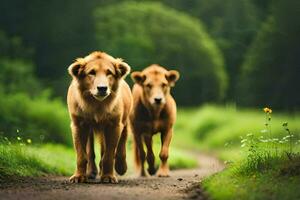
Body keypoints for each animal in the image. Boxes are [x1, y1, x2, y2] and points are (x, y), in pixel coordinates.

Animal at [67, 51, 132, 183]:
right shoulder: (78, 124)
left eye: (109, 73)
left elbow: (109, 154)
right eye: (91, 72)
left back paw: (121, 167)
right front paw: (78, 176)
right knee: (90, 151)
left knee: (121, 144)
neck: (97, 105)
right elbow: (81, 154)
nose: (102, 88)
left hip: (124, 122)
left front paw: (108, 176)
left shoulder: (114, 125)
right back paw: (91, 172)